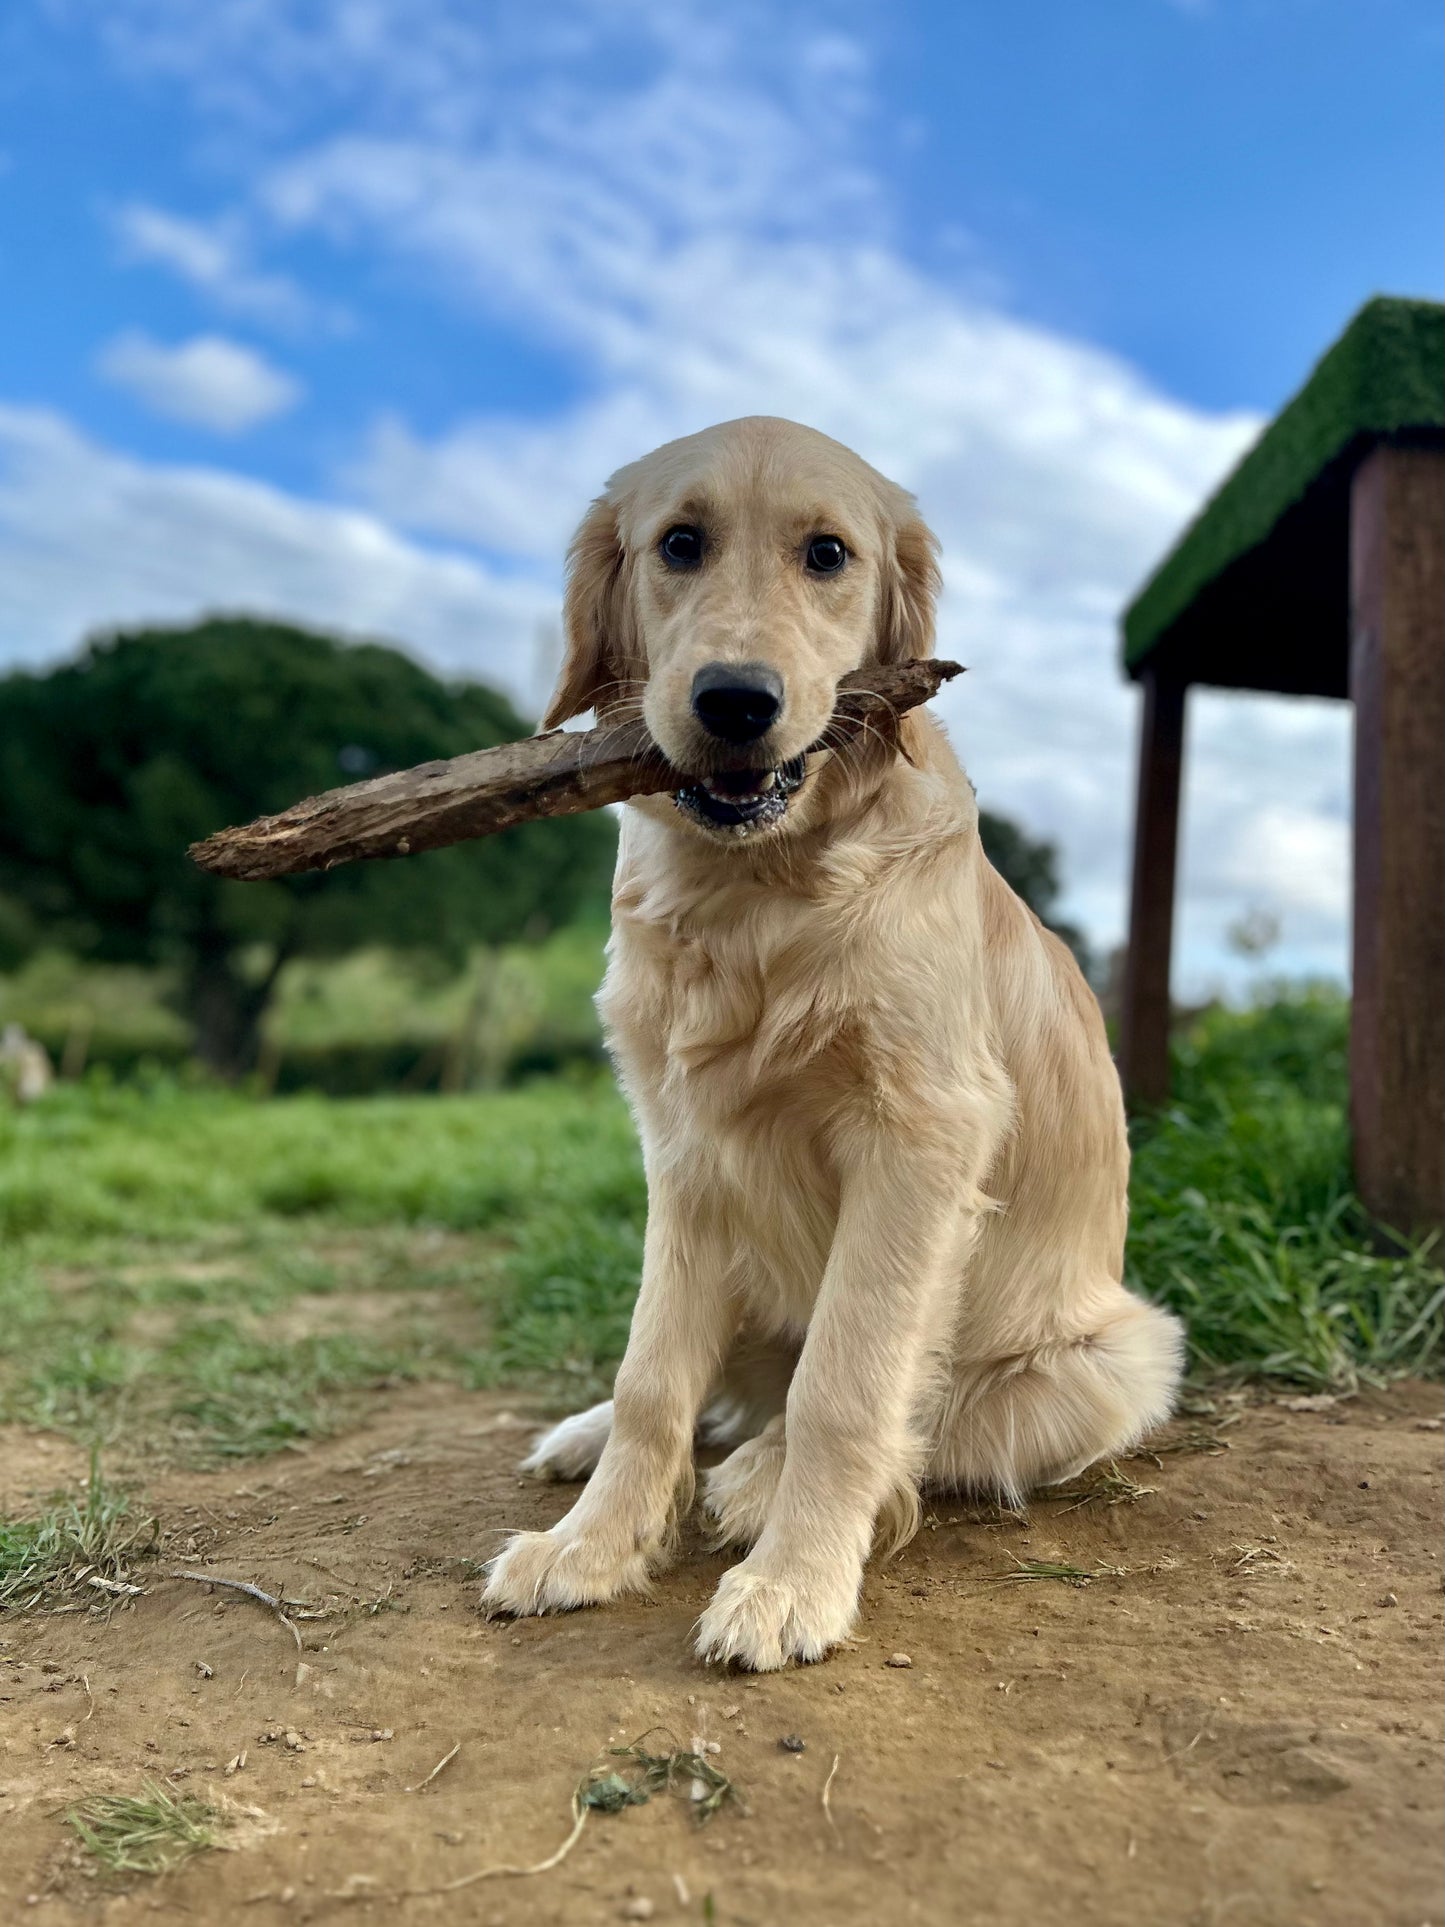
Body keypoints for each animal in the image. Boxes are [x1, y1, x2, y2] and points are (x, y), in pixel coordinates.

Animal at [487, 422, 1186, 1672]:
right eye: (678, 542)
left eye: (827, 554)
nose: (734, 700)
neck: (755, 891)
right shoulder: (683, 1150)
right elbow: (651, 1373)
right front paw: (591, 1547)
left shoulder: (919, 1140)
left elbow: (847, 1386)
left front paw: (791, 1583)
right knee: (706, 1385)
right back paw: (595, 1438)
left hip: (1116, 1354)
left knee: (912, 1413)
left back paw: (760, 1481)